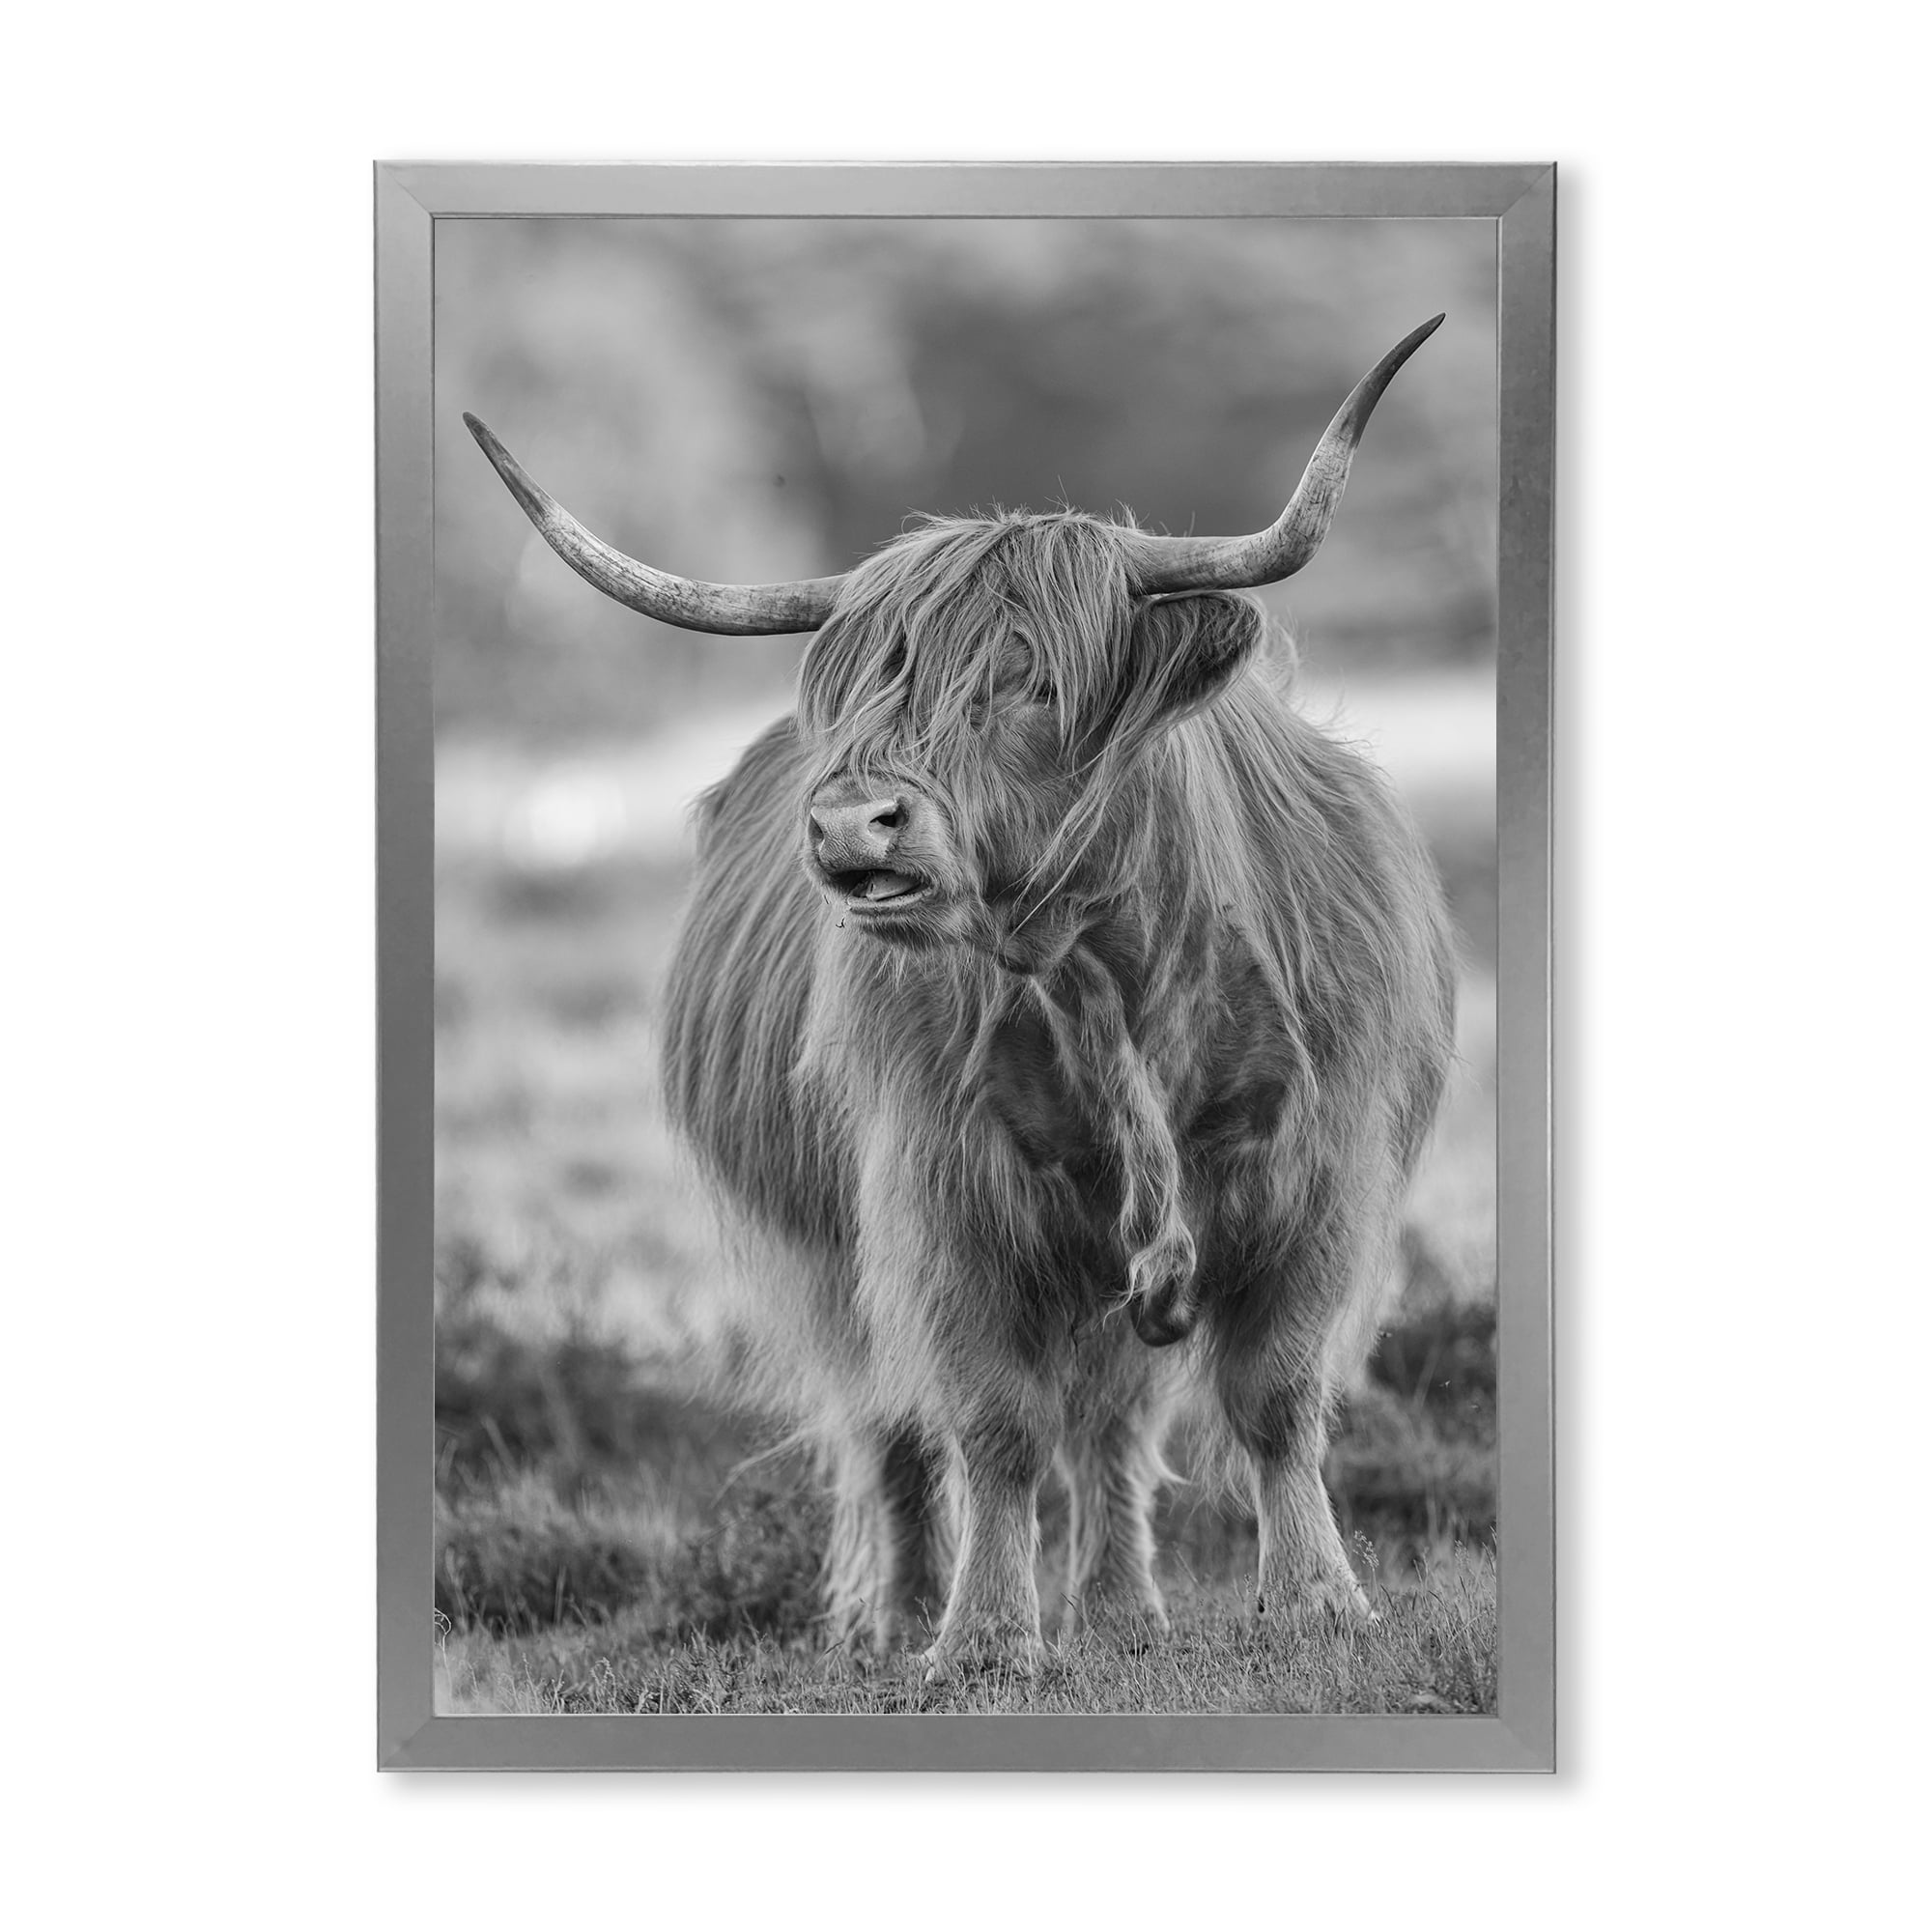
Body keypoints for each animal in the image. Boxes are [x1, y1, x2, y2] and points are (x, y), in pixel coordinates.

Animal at [464, 315, 1457, 1676]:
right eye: (862, 691)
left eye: (1032, 679)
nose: (848, 821)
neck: (1109, 977)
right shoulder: (941, 1196)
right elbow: (989, 1422)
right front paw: (982, 1635)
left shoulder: (1316, 1176)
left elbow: (1274, 1396)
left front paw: (1315, 1601)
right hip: (835, 1256)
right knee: (893, 1420)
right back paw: (897, 1618)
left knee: (1112, 1421)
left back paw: (1122, 1607)